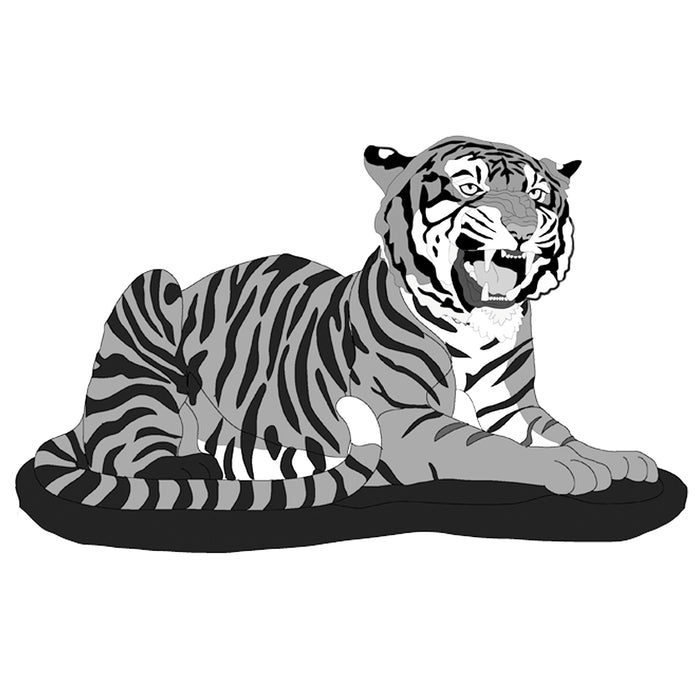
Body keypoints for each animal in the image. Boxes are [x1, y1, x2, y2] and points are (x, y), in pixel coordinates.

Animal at [29, 135, 658, 516]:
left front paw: (617, 459)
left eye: (538, 195)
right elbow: (495, 449)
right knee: (135, 457)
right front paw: (566, 469)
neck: (476, 322)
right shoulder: (405, 420)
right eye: (470, 187)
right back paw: (191, 467)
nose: (526, 229)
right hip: (151, 291)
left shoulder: (514, 405)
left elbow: (559, 432)